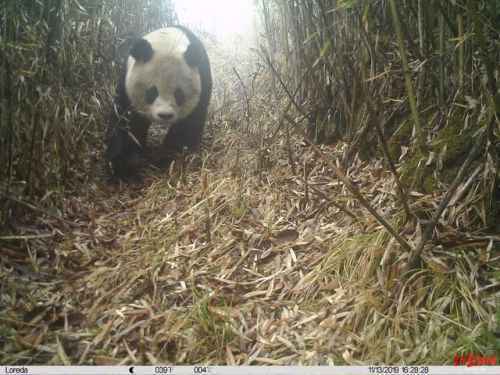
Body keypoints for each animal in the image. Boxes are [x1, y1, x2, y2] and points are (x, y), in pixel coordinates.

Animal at [106, 25, 212, 180]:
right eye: (152, 92)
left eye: (178, 94)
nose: (165, 115)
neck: (168, 42)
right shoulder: (127, 86)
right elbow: (127, 124)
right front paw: (125, 166)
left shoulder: (202, 82)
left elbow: (186, 128)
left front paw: (169, 160)